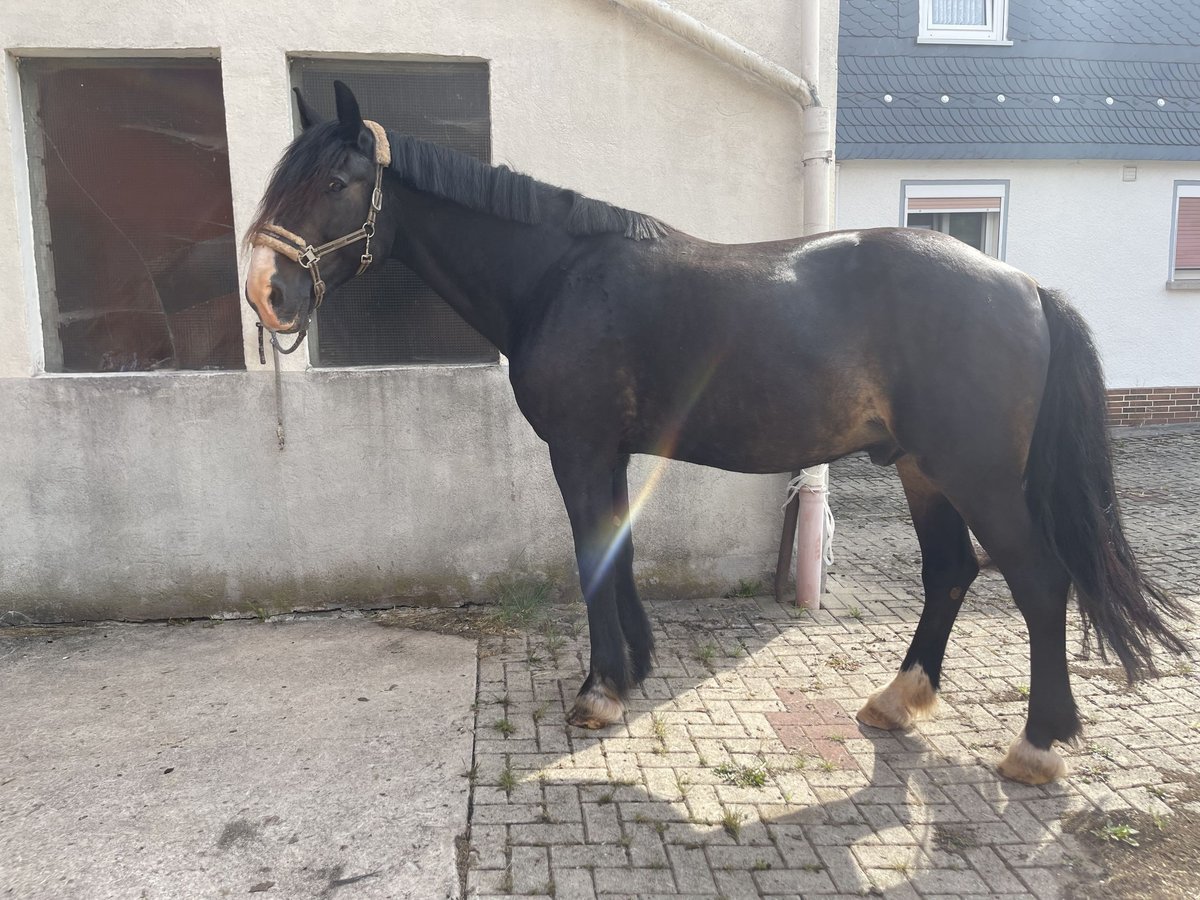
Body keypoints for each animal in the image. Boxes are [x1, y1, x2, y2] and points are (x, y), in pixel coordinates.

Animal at [246, 84, 1190, 787]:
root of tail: (1025, 284)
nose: (266, 293)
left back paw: (1037, 744)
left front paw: (599, 691)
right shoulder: (608, 454)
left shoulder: (578, 450)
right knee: (952, 570)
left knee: (1038, 580)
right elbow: (617, 553)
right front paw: (632, 669)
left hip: (978, 474)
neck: (558, 275)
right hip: (922, 467)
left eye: (335, 181)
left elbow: (593, 560)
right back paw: (897, 700)